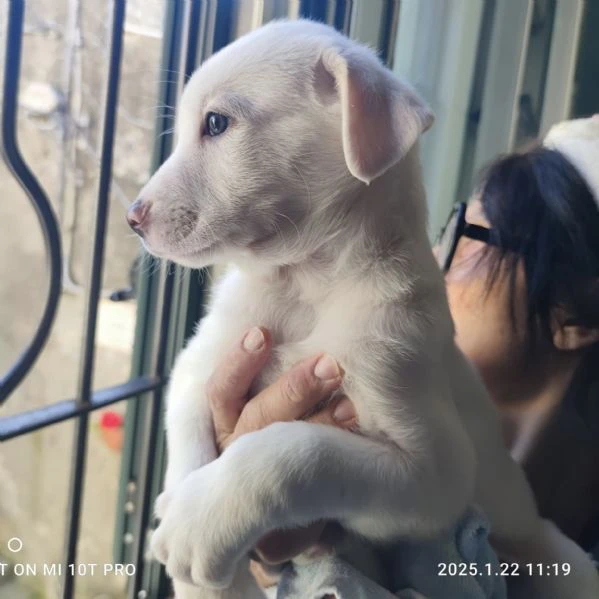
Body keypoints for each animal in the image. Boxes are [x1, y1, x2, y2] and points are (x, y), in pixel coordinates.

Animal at [131, 18, 599, 599]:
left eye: (216, 123)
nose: (132, 217)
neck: (303, 286)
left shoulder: (431, 473)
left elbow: (299, 451)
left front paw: (198, 526)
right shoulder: (204, 360)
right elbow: (189, 432)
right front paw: (194, 545)